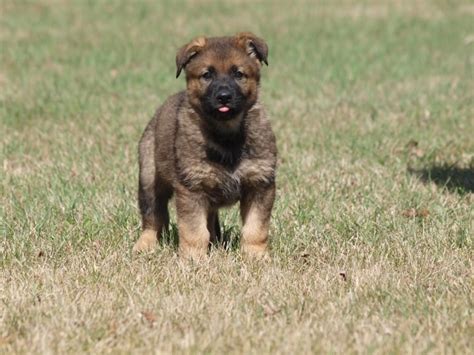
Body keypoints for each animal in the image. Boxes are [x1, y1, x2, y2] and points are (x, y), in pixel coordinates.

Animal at [131, 32, 276, 258]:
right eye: (207, 75)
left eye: (239, 74)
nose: (224, 97)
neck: (227, 135)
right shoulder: (192, 188)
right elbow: (194, 230)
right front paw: (193, 258)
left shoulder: (260, 184)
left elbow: (255, 228)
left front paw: (256, 256)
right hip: (149, 178)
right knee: (152, 217)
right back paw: (145, 244)